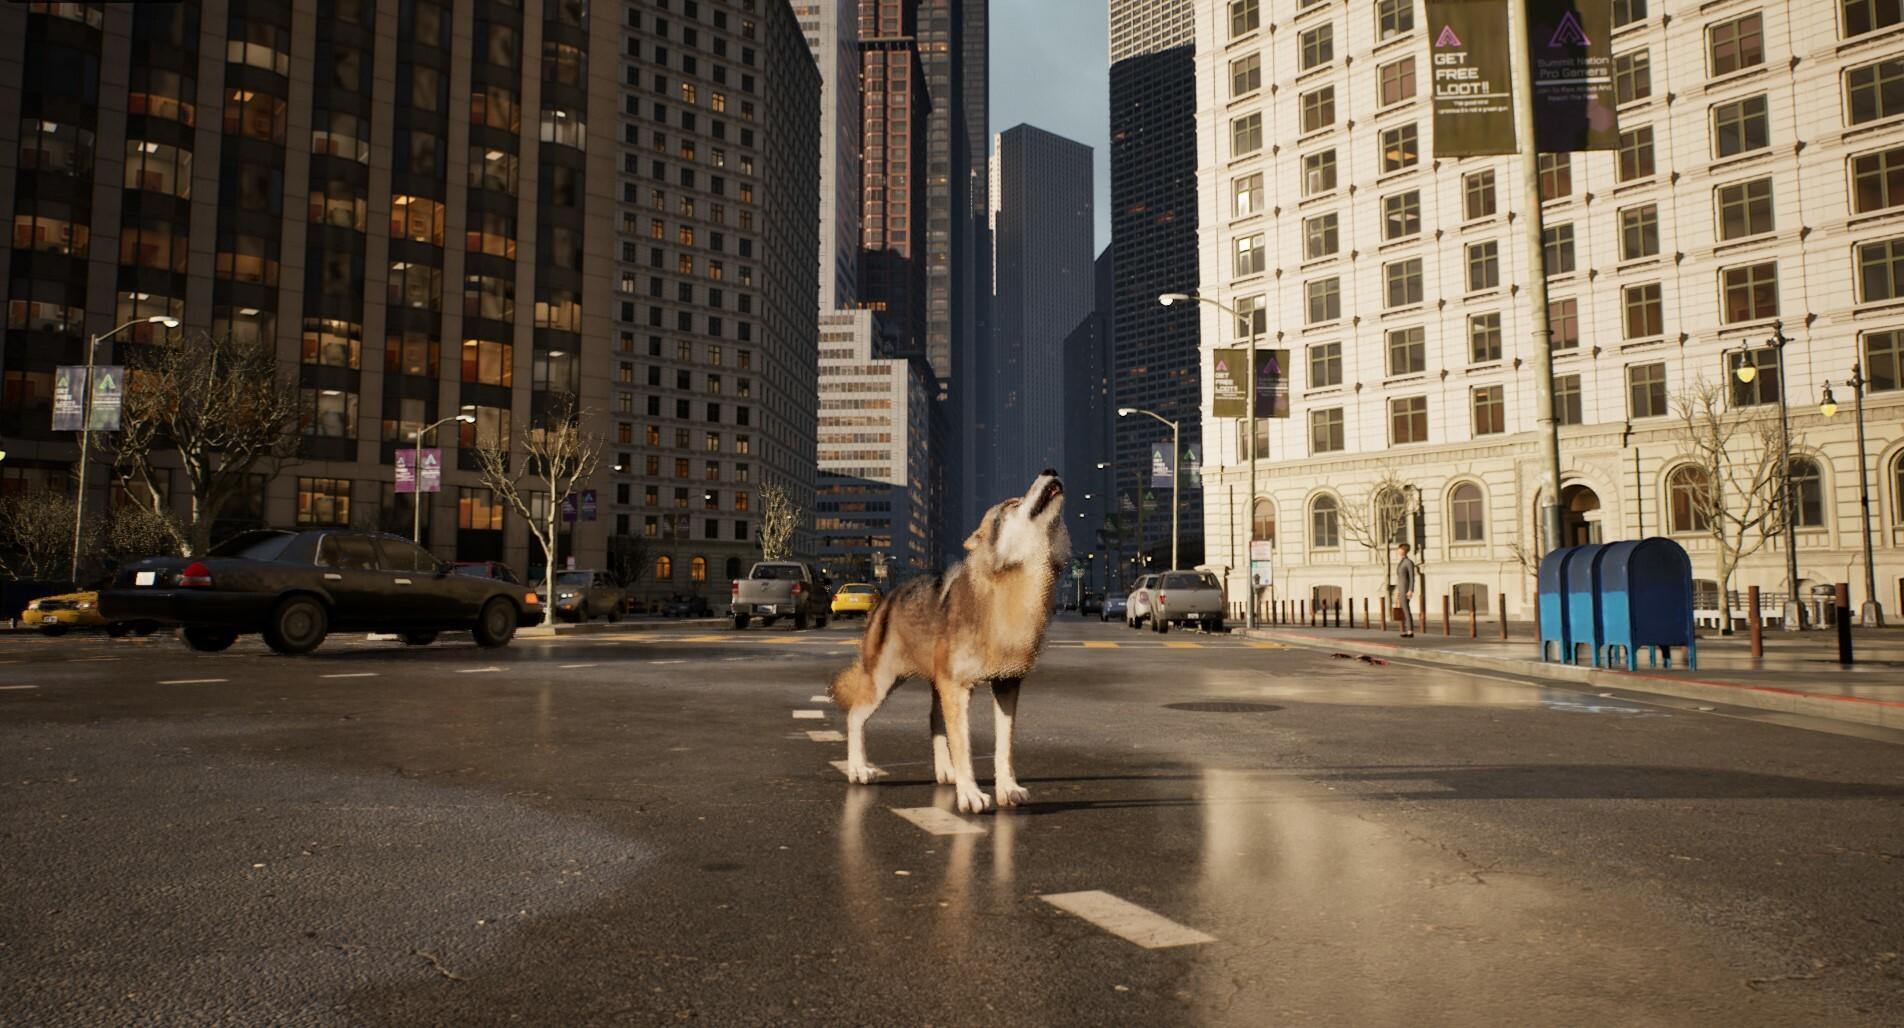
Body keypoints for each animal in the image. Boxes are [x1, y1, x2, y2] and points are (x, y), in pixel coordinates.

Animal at [828, 470, 1070, 813]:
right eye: (1013, 503)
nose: (1050, 470)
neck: (1014, 586)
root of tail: (885, 598)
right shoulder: (958, 688)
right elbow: (964, 745)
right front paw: (970, 795)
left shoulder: (1007, 684)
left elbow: (1004, 746)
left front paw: (1007, 789)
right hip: (885, 682)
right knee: (854, 717)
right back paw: (859, 770)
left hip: (933, 684)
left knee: (933, 720)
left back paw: (946, 772)